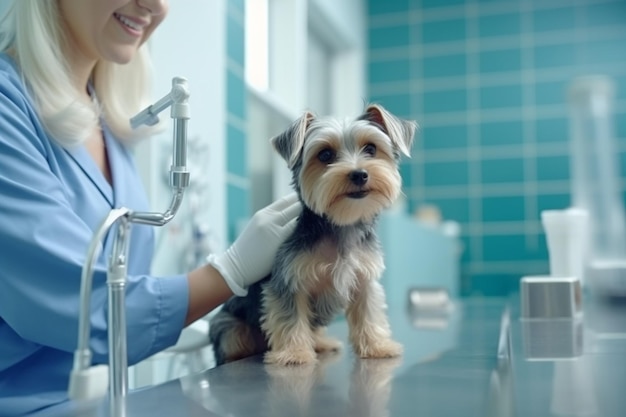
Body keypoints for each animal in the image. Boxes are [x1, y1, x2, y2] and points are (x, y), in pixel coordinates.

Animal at [208, 103, 414, 364]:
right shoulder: (288, 280)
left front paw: (377, 345)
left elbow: (369, 312)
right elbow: (291, 316)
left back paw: (321, 343)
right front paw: (294, 353)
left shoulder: (364, 279)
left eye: (371, 148)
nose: (359, 174)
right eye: (325, 155)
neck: (340, 224)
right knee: (233, 338)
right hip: (227, 327)